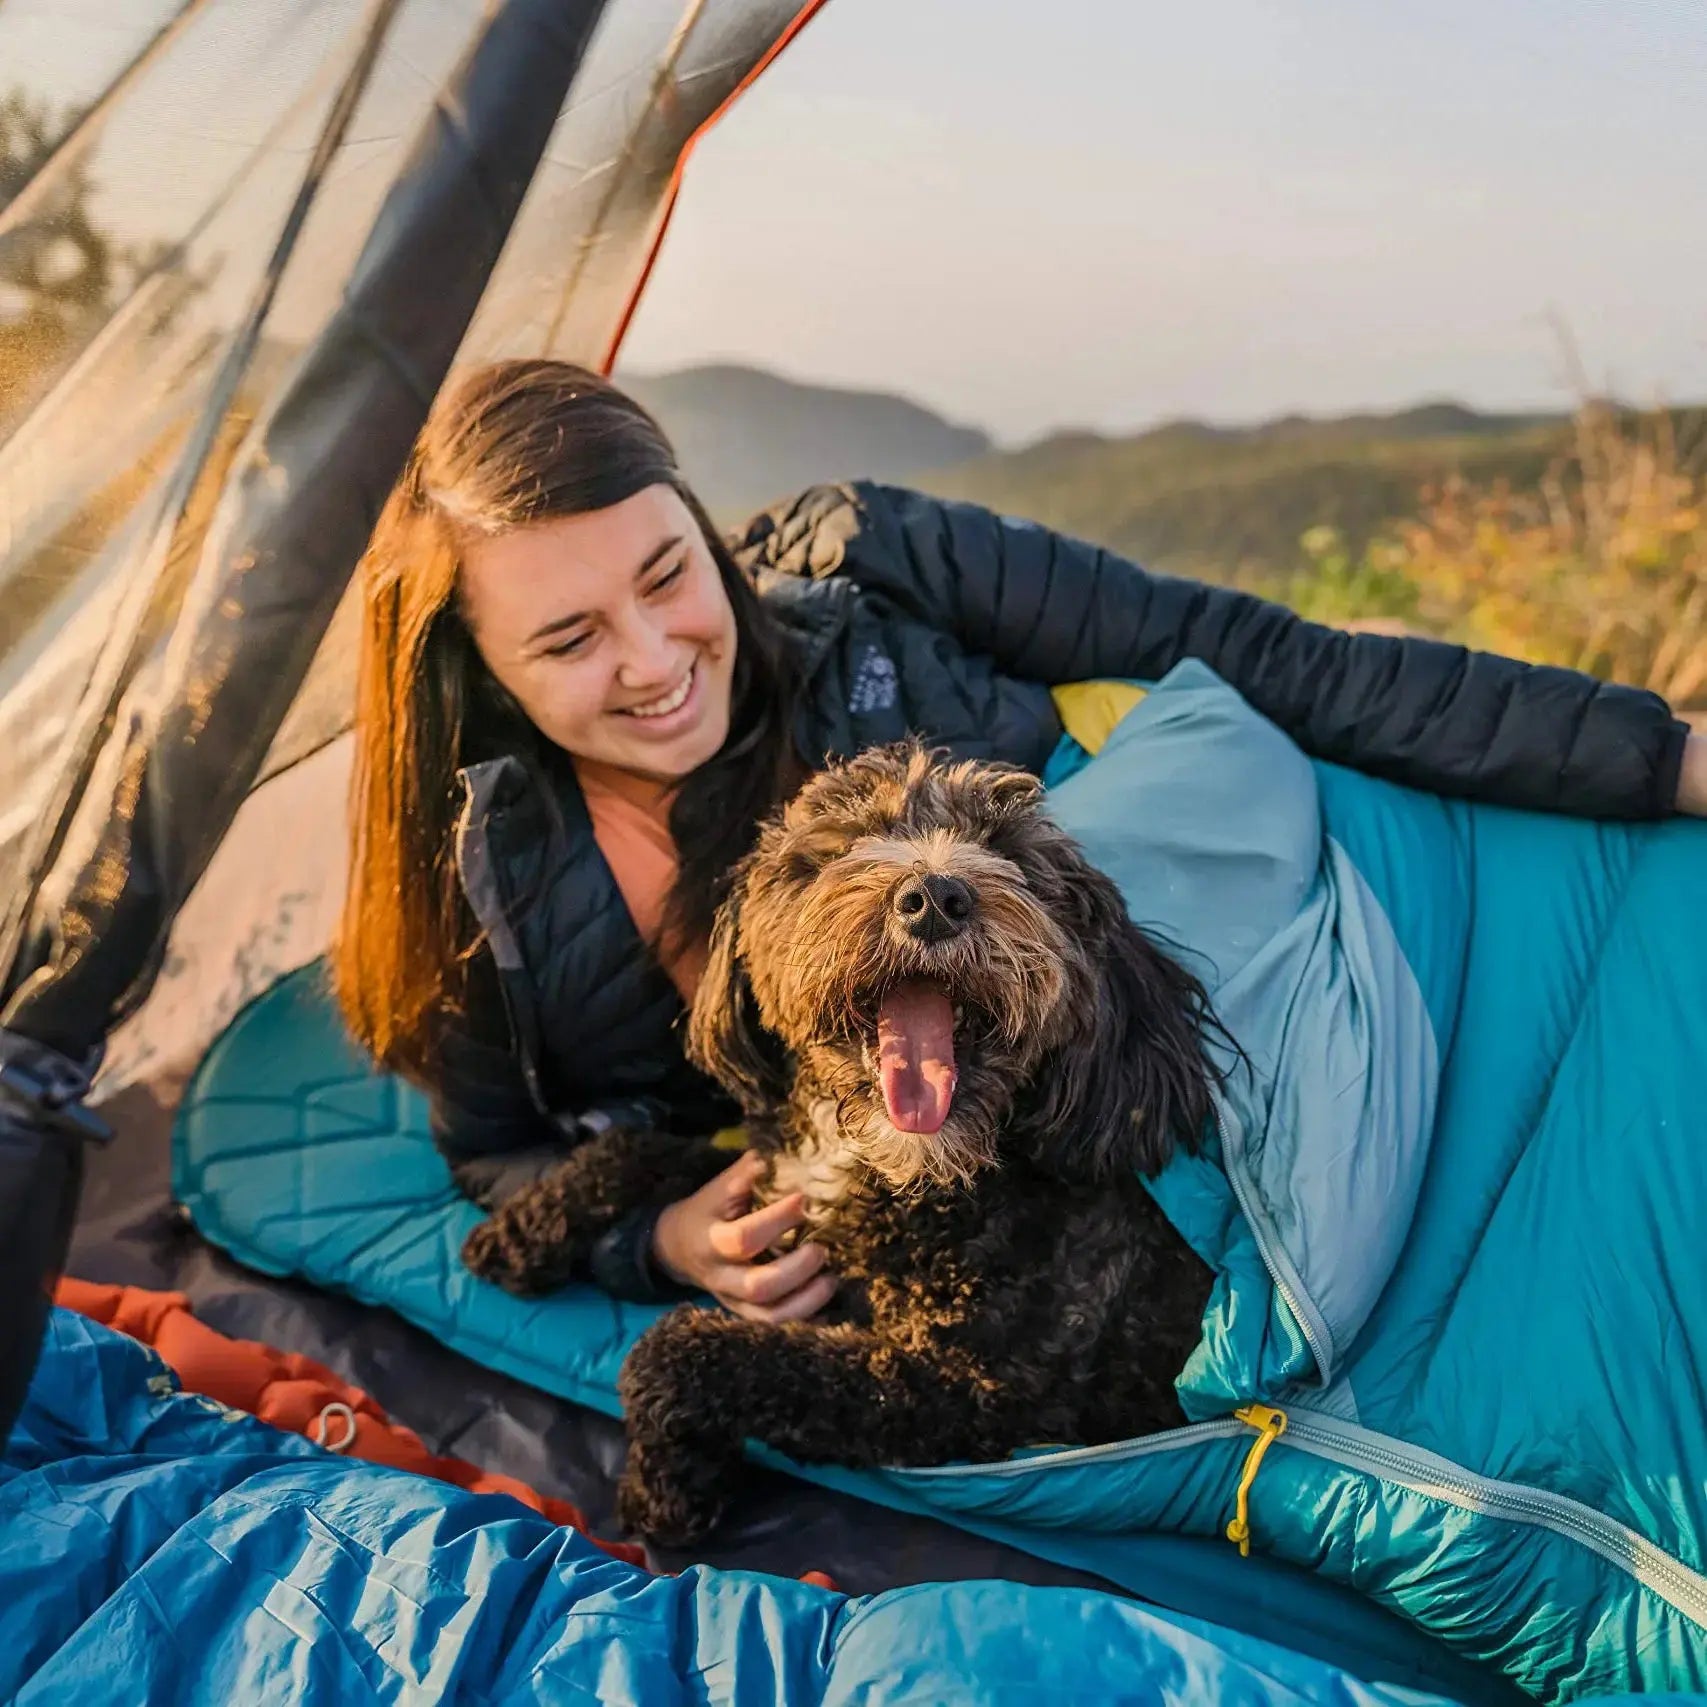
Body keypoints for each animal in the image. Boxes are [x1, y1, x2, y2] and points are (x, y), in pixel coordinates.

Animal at [460, 740, 1222, 1543]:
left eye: (1008, 850)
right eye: (843, 844)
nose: (934, 896)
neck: (889, 1167)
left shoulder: (976, 1389)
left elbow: (690, 1350)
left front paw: (665, 1487)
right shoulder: (775, 1172)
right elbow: (639, 1144)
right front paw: (520, 1232)